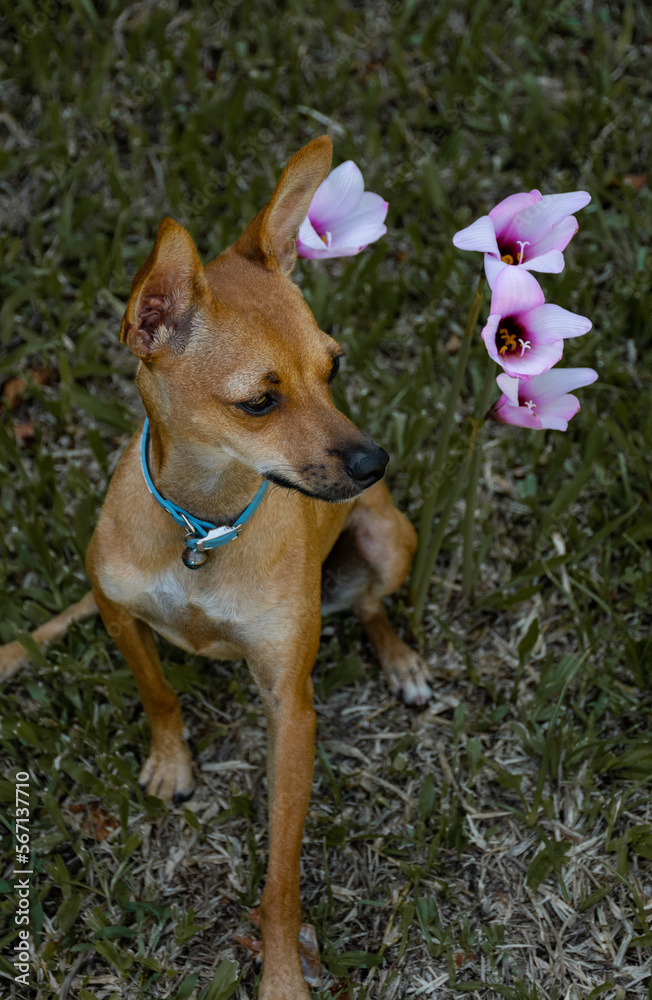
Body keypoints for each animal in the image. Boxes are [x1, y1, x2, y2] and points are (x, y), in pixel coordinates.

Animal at [1, 137, 432, 996]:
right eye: (259, 402)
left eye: (334, 368)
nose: (375, 462)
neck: (204, 522)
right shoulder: (121, 615)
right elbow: (158, 692)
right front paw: (171, 764)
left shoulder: (291, 710)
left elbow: (282, 877)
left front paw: (282, 975)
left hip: (388, 537)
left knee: (371, 604)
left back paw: (399, 661)